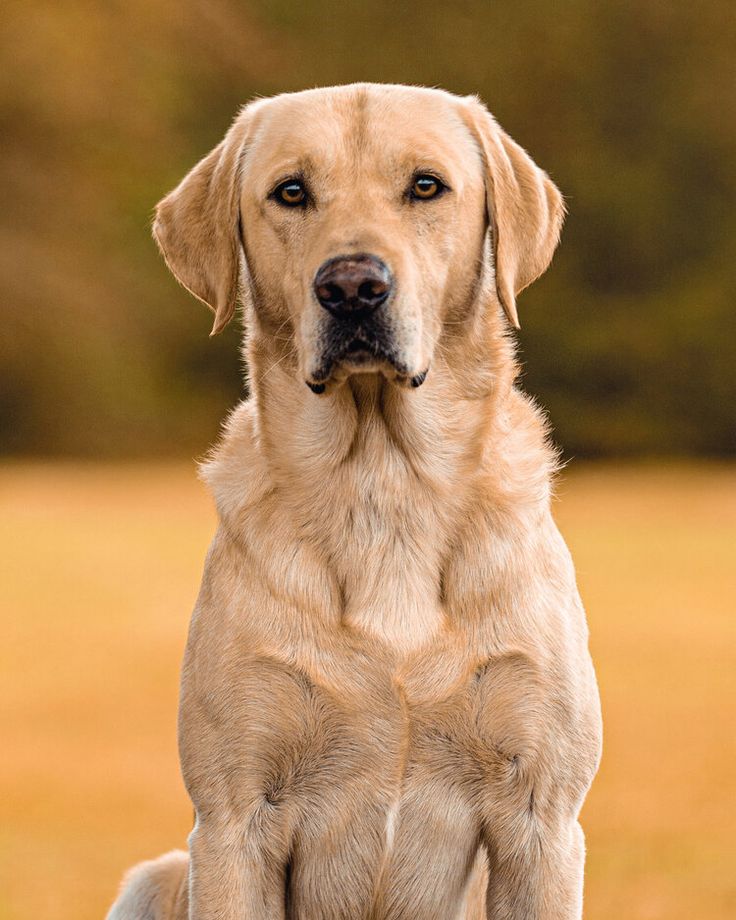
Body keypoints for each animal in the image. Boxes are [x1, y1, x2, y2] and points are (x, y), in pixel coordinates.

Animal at [110, 82, 604, 916]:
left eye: (427, 186)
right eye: (291, 192)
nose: (350, 286)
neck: (383, 485)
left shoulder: (541, 818)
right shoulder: (233, 819)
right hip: (154, 876)